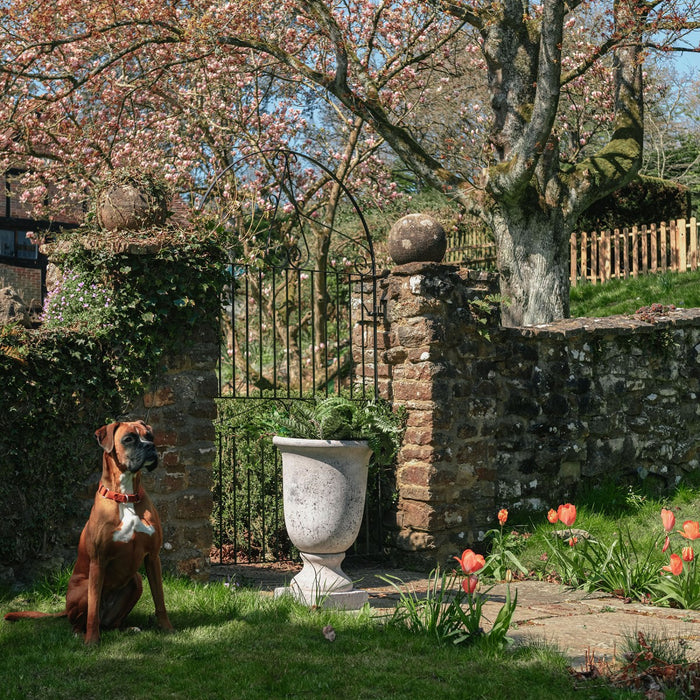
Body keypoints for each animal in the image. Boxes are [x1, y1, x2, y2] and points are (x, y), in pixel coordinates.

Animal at [6, 422, 175, 644]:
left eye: (150, 436)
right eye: (129, 439)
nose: (150, 447)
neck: (125, 496)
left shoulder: (153, 558)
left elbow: (160, 599)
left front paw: (166, 628)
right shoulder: (98, 561)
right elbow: (93, 610)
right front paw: (92, 640)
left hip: (137, 580)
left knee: (112, 623)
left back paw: (127, 629)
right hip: (84, 587)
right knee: (81, 620)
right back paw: (80, 633)